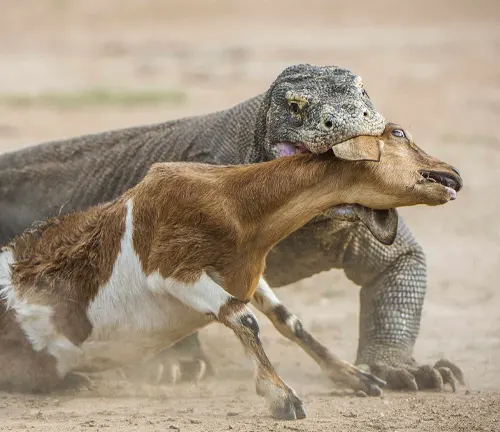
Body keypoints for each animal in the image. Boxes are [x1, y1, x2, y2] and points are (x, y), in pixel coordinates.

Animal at [0, 123, 460, 420]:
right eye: (399, 134)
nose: (452, 173)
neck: (234, 202)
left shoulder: (249, 276)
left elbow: (289, 321)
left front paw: (355, 377)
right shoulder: (173, 271)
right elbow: (242, 317)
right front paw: (281, 397)